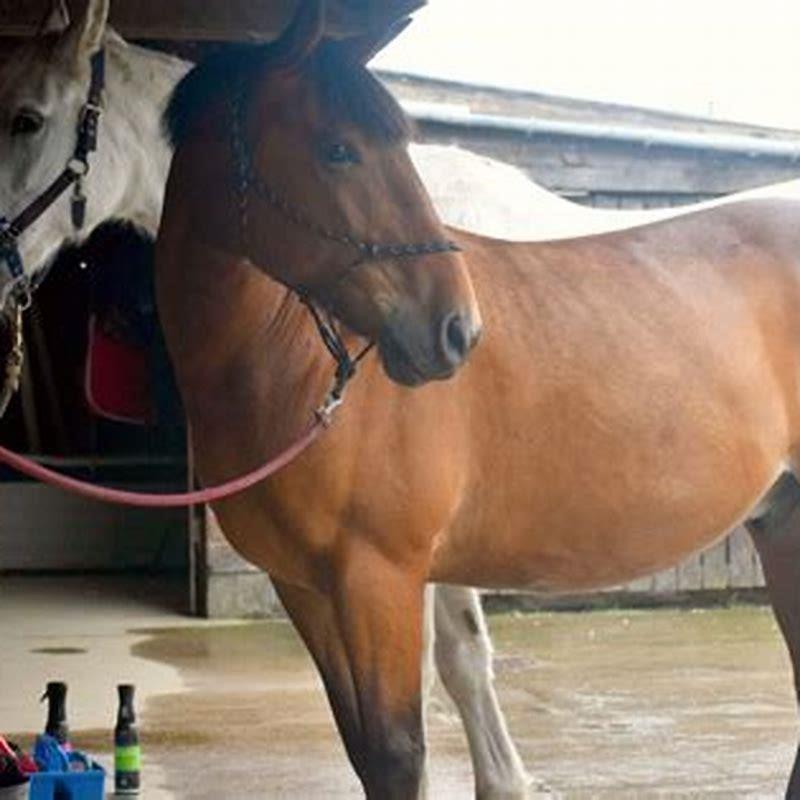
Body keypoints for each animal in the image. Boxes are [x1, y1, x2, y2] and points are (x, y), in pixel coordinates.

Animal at [155, 2, 800, 798]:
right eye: (338, 150)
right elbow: (370, 746)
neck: (290, 370)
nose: (457, 330)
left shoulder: (381, 577)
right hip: (784, 519)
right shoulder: (304, 586)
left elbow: (401, 751)